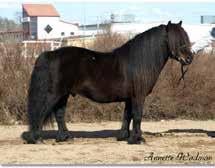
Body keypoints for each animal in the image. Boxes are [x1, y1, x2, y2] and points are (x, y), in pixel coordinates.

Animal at [21, 21, 193, 144]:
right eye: (176, 39)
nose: (189, 59)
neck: (139, 61)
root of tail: (50, 54)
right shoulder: (138, 96)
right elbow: (137, 116)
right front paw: (137, 139)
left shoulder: (130, 97)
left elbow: (127, 116)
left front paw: (124, 136)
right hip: (54, 94)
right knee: (41, 111)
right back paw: (36, 139)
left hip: (64, 94)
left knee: (59, 114)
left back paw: (65, 137)